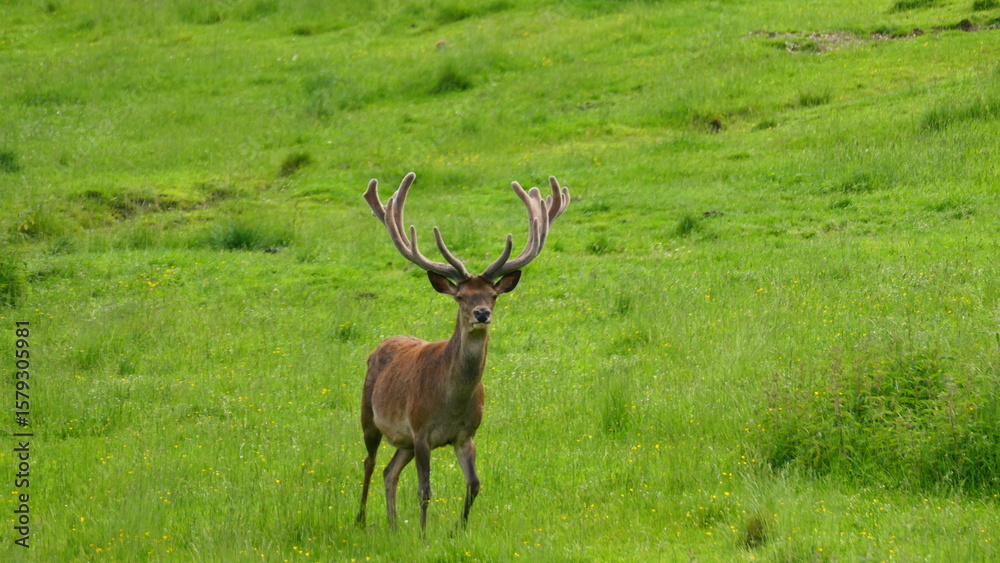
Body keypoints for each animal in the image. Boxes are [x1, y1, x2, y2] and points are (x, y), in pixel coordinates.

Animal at [355, 172, 570, 535]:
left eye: (493, 295)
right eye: (460, 297)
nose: (482, 313)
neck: (450, 402)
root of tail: (381, 345)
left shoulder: (466, 434)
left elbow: (474, 484)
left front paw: (459, 529)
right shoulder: (421, 430)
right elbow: (425, 490)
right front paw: (424, 536)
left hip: (403, 442)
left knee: (389, 471)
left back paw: (394, 527)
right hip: (370, 417)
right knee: (370, 462)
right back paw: (360, 520)